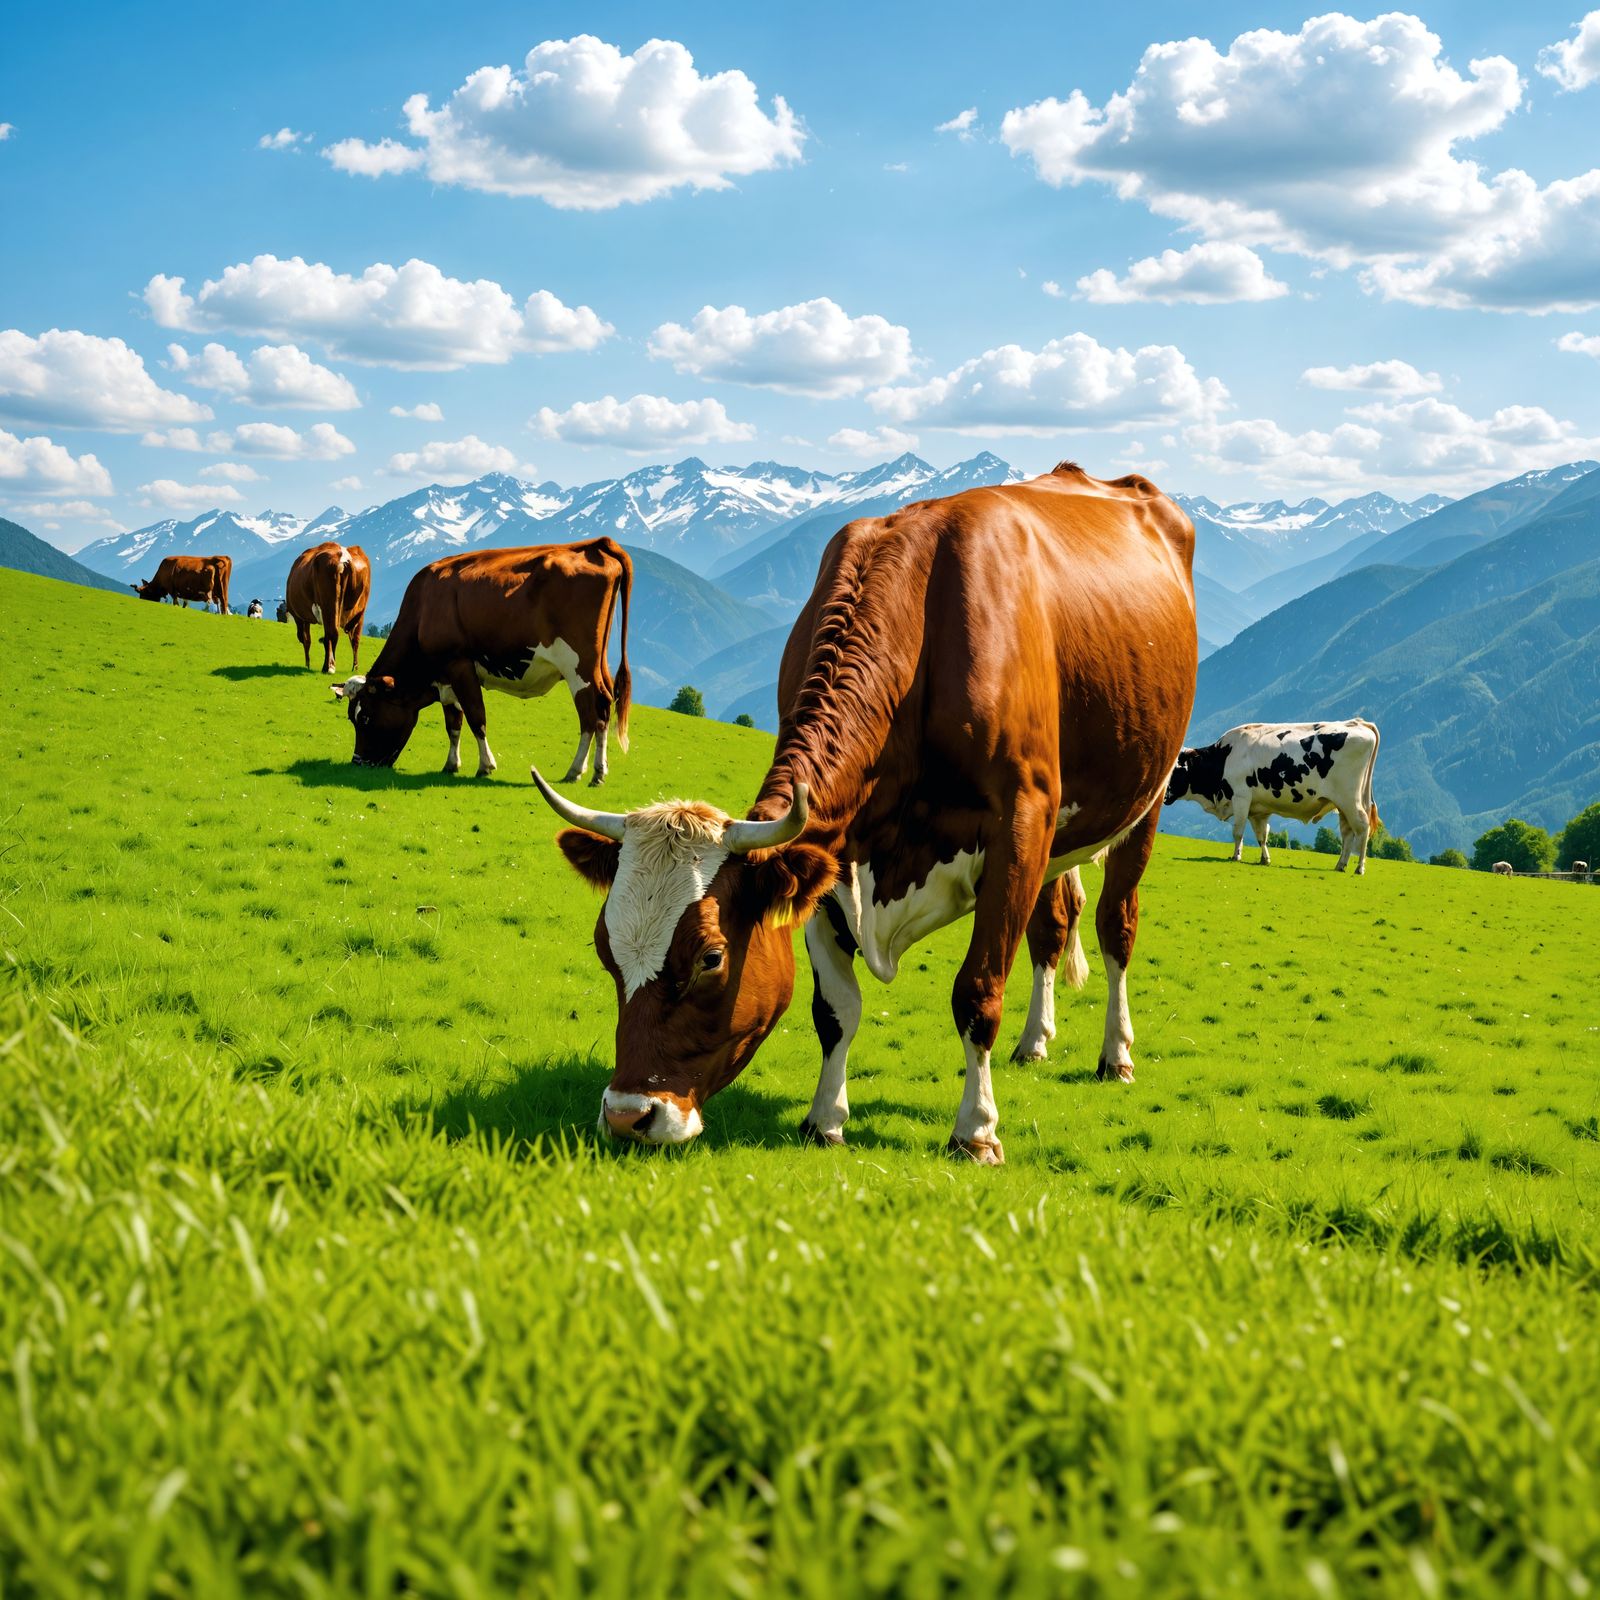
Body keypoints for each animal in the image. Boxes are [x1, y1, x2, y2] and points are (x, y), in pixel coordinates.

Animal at [285, 542, 371, 674]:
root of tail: (345, 556)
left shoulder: (301, 618)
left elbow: (306, 639)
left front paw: (307, 664)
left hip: (329, 605)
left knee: (331, 634)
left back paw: (328, 667)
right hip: (359, 611)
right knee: (355, 638)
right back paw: (354, 668)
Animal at [333, 538, 632, 786]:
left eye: (366, 717)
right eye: (351, 717)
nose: (358, 762)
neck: (423, 608)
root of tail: (595, 544)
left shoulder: (459, 665)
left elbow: (476, 717)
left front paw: (485, 766)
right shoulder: (445, 677)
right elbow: (453, 723)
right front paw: (451, 764)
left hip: (577, 667)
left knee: (591, 714)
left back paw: (578, 771)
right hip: (597, 664)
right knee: (605, 706)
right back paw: (598, 771)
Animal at [530, 462, 1197, 1163]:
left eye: (711, 957)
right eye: (604, 948)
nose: (628, 1115)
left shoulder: (1022, 819)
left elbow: (978, 990)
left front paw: (975, 1131)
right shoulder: (832, 848)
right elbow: (834, 1010)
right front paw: (824, 1119)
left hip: (1147, 795)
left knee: (1115, 925)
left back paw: (1115, 1055)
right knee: (1052, 924)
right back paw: (1034, 1041)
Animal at [1165, 720, 1381, 874]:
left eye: (1174, 770)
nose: (1162, 796)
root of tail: (1358, 722)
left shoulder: (1241, 798)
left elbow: (1238, 831)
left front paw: (1236, 856)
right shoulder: (1257, 810)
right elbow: (1262, 836)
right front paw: (1264, 859)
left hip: (1349, 799)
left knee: (1362, 827)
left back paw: (1359, 868)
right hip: (1342, 804)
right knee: (1348, 832)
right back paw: (1340, 865)